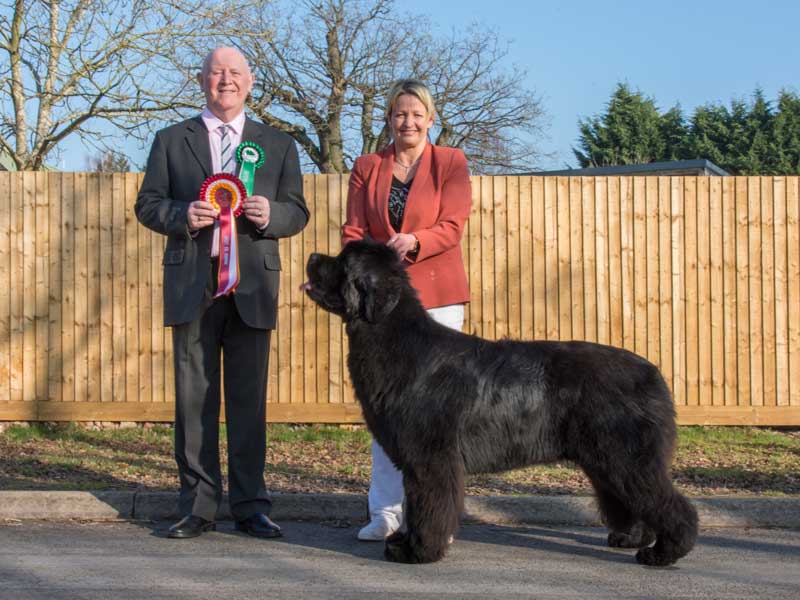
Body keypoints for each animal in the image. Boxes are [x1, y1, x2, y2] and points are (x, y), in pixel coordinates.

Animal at [304, 240, 696, 568]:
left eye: (341, 261)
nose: (311, 256)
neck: (395, 339)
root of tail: (653, 372)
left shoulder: (431, 459)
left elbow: (428, 506)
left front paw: (418, 551)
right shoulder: (417, 460)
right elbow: (415, 505)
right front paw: (404, 543)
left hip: (626, 456)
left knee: (666, 502)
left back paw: (663, 552)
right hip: (605, 459)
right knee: (628, 497)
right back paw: (632, 538)